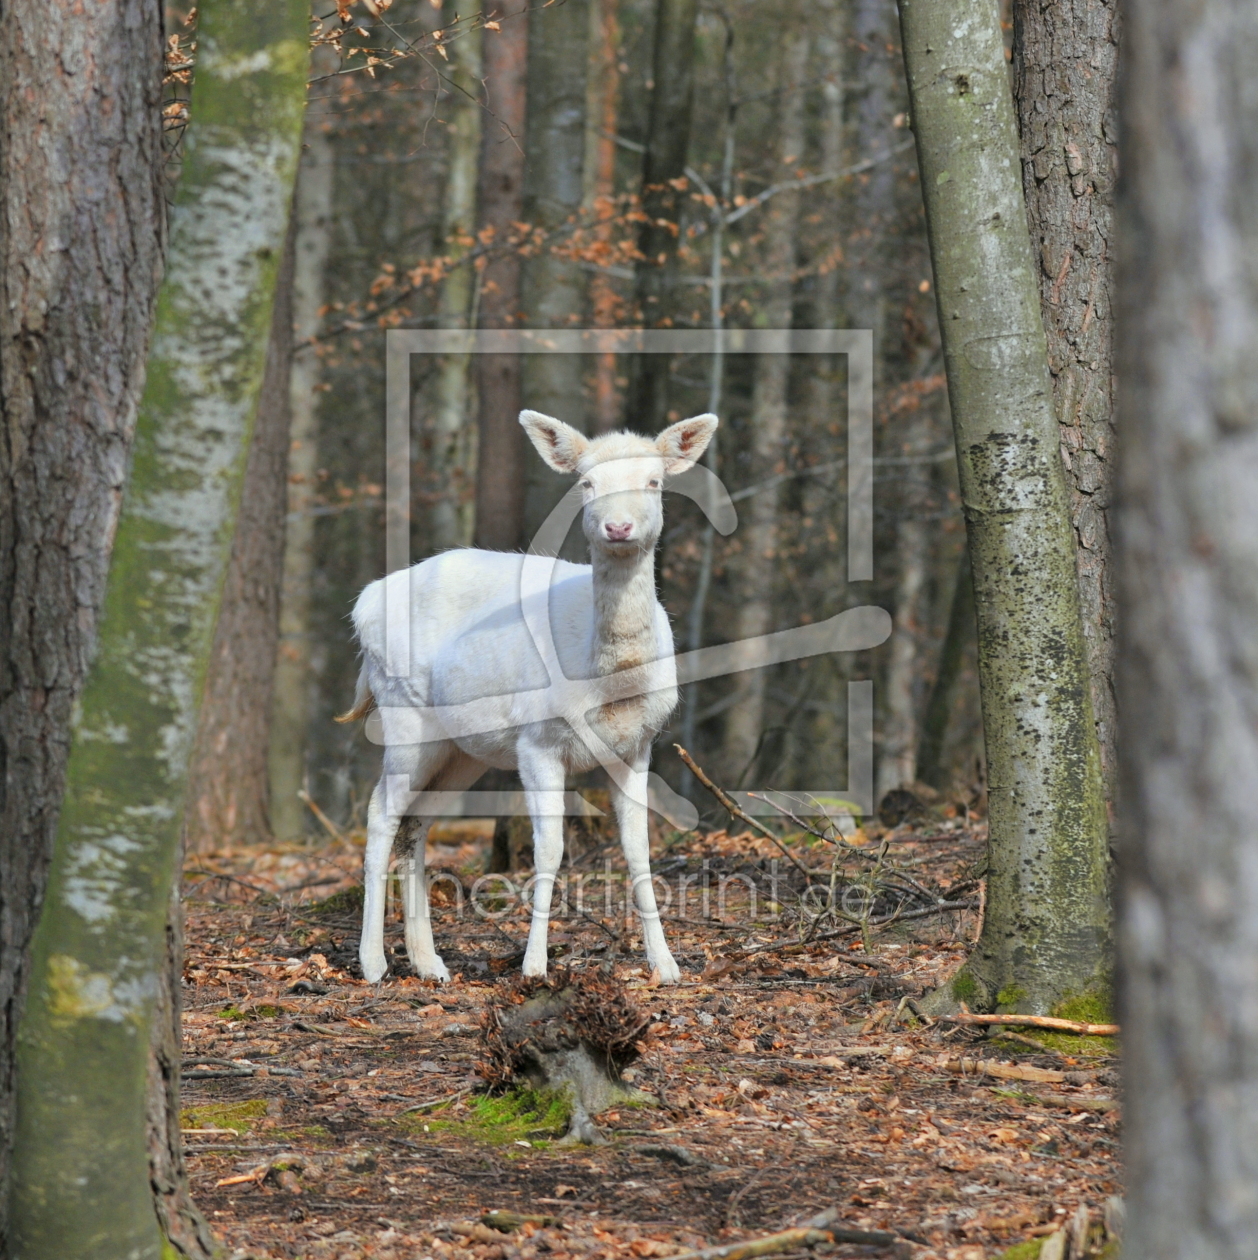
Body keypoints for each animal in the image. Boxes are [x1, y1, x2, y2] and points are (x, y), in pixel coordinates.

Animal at [342, 408, 721, 987]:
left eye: (655, 482)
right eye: (586, 483)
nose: (618, 527)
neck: (608, 684)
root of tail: (362, 604)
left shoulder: (639, 745)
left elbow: (638, 850)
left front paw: (667, 966)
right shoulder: (537, 741)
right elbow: (550, 851)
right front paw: (535, 966)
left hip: (461, 749)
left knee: (416, 821)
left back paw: (429, 962)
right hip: (403, 712)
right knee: (380, 811)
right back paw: (373, 963)